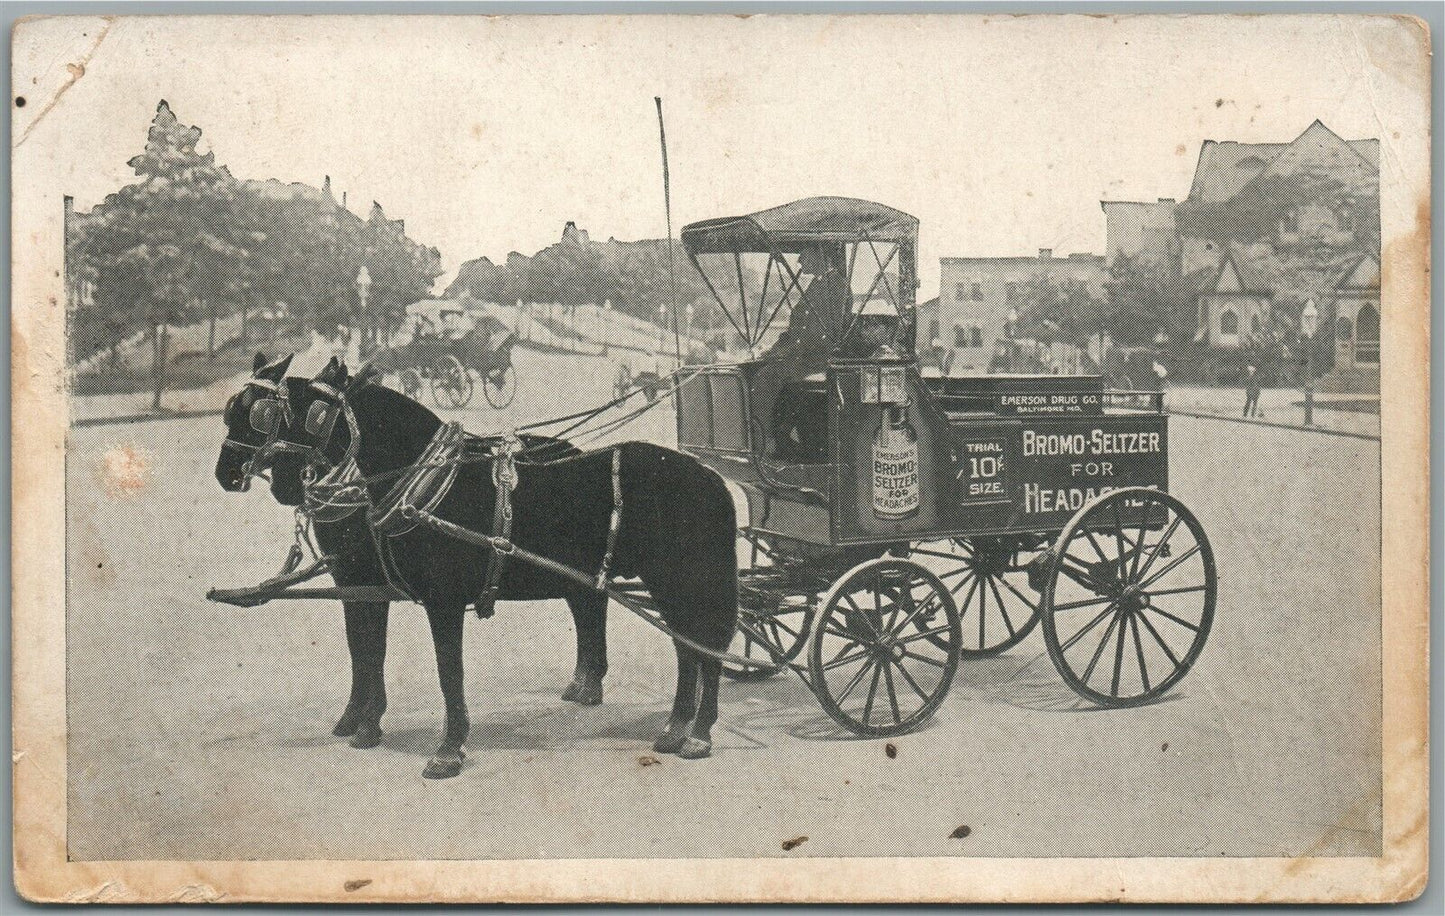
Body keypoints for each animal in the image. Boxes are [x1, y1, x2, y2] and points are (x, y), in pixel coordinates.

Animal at [210, 352, 601, 751]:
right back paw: (586, 682)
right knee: (586, 602)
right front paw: (357, 718)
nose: (226, 474)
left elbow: (378, 651)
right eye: (232, 412)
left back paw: (588, 682)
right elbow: (361, 649)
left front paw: (369, 722)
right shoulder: (353, 582)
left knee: (588, 601)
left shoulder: (385, 585)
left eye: (264, 416)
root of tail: (576, 451)